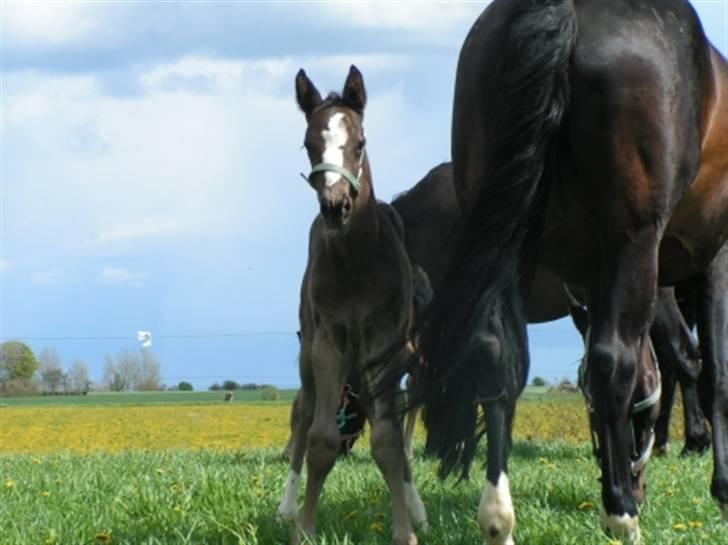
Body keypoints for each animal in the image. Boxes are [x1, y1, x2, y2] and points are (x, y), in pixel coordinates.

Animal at [278, 67, 426, 544]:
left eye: (360, 142)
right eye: (309, 144)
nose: (336, 206)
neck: (357, 261)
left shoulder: (385, 345)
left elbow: (388, 440)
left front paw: (405, 530)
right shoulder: (329, 342)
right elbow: (321, 437)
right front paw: (304, 528)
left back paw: (417, 507)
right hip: (311, 355)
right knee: (304, 413)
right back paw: (286, 506)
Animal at [416, 2, 728, 540]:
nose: (639, 478)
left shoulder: (589, 279)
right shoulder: (712, 260)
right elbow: (714, 372)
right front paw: (721, 488)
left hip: (511, 236)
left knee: (495, 352)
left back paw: (499, 517)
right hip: (633, 243)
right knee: (613, 362)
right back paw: (621, 514)